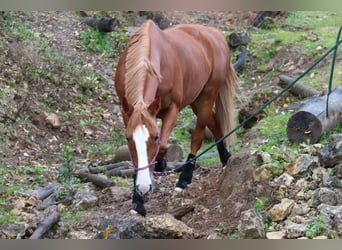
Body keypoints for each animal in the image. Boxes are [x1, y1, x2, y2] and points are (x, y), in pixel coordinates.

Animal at [115, 19, 238, 216]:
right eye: (128, 139)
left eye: (155, 137)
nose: (143, 188)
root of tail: (215, 35)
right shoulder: (127, 113)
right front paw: (137, 201)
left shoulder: (172, 109)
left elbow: (164, 146)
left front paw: (160, 165)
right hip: (196, 100)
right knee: (214, 122)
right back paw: (226, 158)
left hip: (207, 96)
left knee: (198, 137)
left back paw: (184, 179)